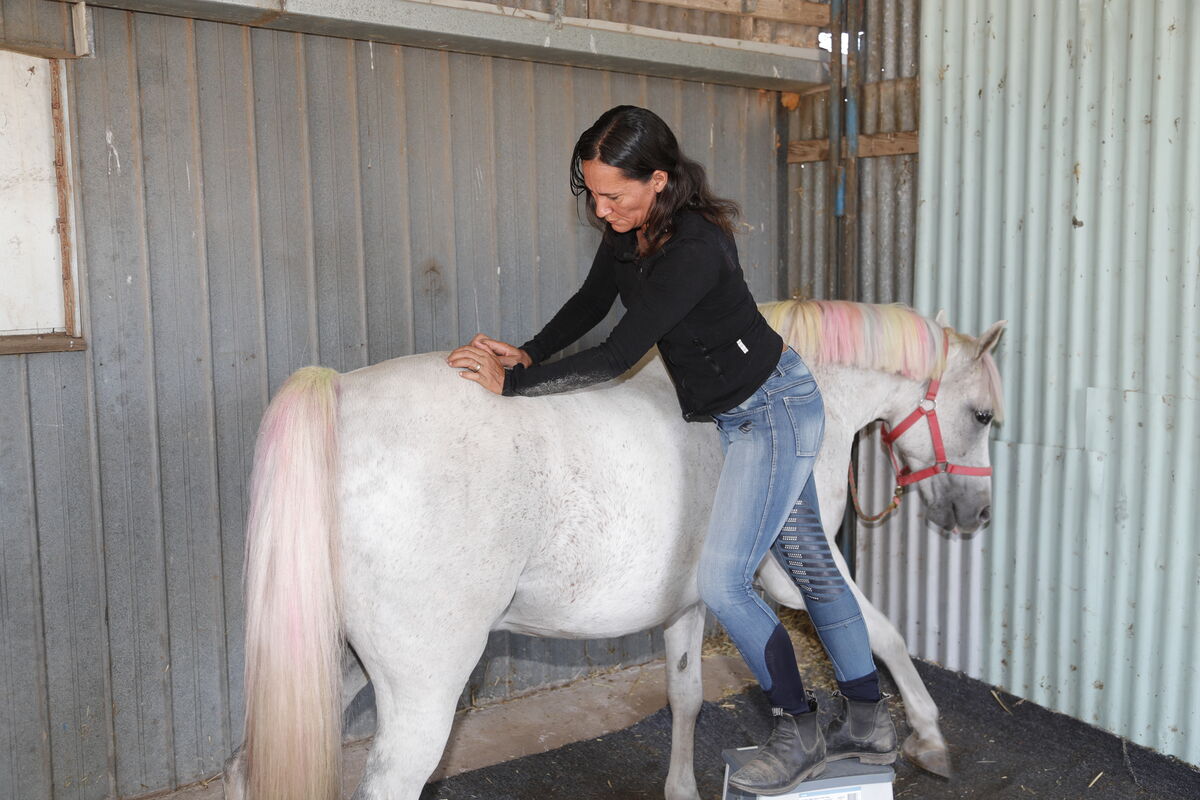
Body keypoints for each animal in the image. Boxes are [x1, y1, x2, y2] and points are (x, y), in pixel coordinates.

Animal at [222, 299, 1005, 800]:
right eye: (982, 415)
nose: (976, 513)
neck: (780, 398)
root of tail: (341, 398)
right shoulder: (795, 574)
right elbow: (881, 632)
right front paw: (925, 737)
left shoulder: (691, 604)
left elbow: (686, 697)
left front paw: (683, 789)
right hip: (421, 686)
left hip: (335, 662)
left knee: (241, 769)